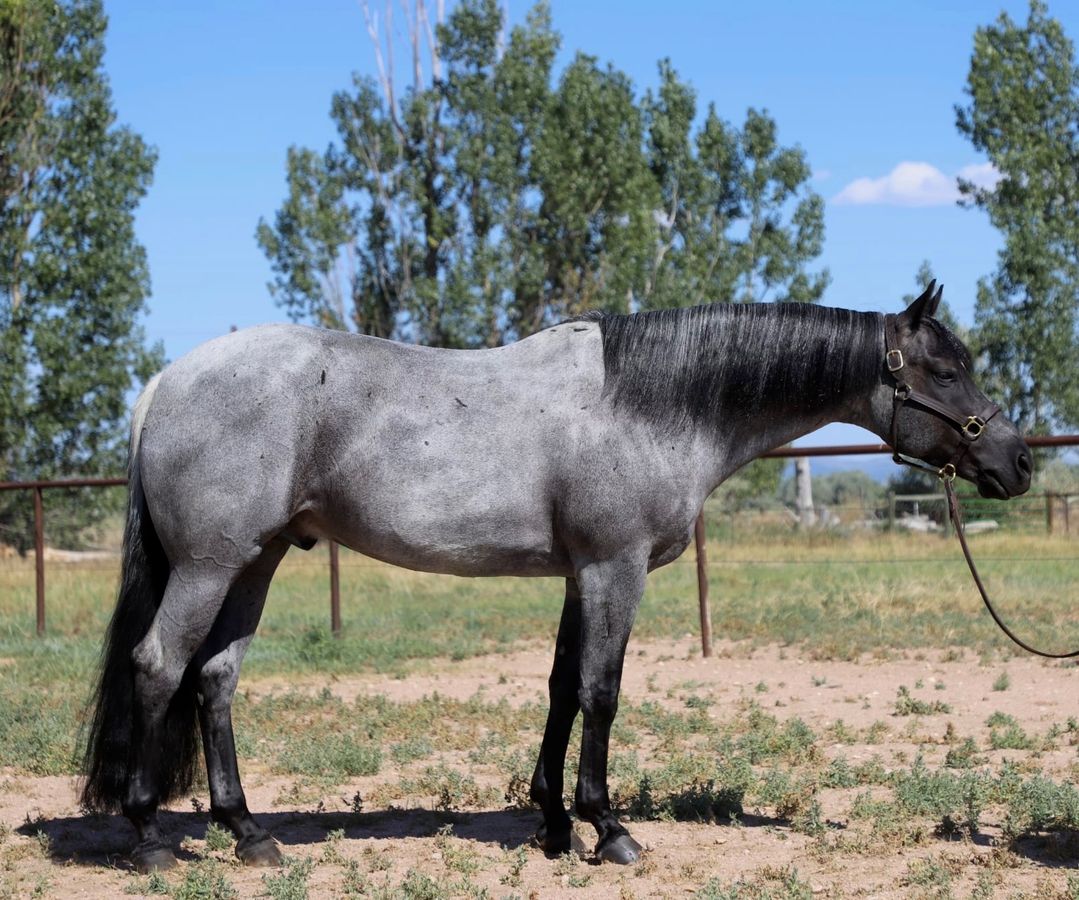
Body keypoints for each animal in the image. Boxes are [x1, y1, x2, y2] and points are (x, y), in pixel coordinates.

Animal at [80, 283, 1031, 872]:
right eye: (944, 370)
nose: (1016, 462)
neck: (647, 403)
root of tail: (166, 382)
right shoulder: (615, 570)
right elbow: (602, 693)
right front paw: (607, 829)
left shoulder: (582, 574)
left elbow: (560, 688)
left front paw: (548, 822)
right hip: (210, 565)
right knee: (158, 667)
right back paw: (150, 837)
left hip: (258, 560)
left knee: (214, 680)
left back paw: (246, 833)